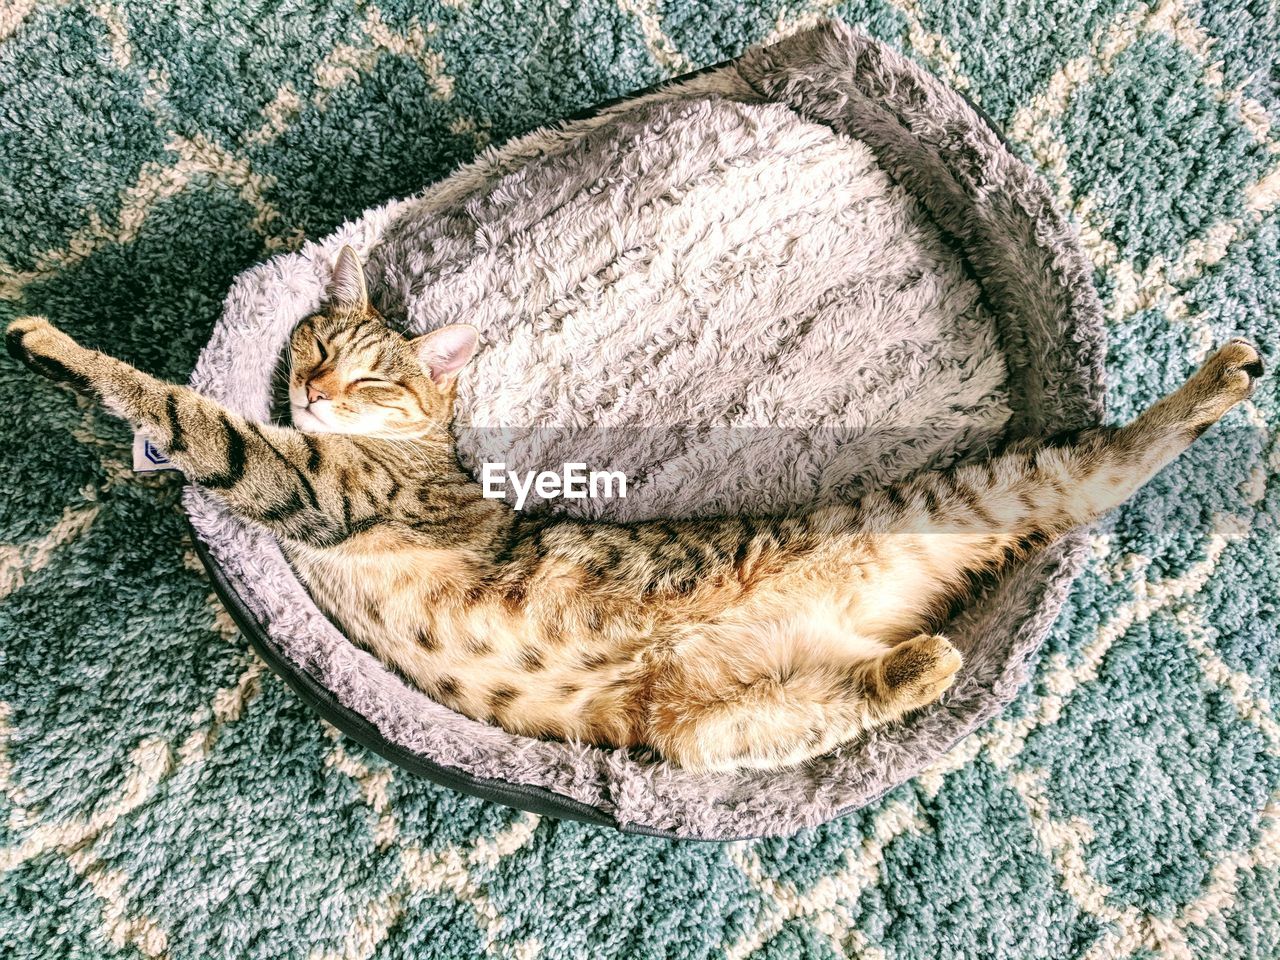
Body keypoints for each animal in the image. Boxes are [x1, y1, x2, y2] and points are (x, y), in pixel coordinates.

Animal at [10, 245, 1264, 773]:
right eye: (316, 349)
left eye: (369, 377)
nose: (315, 387)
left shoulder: (318, 483)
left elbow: (190, 414)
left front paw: (62, 351)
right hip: (718, 728)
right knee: (845, 700)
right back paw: (920, 668)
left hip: (982, 489)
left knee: (1113, 458)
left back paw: (1215, 378)